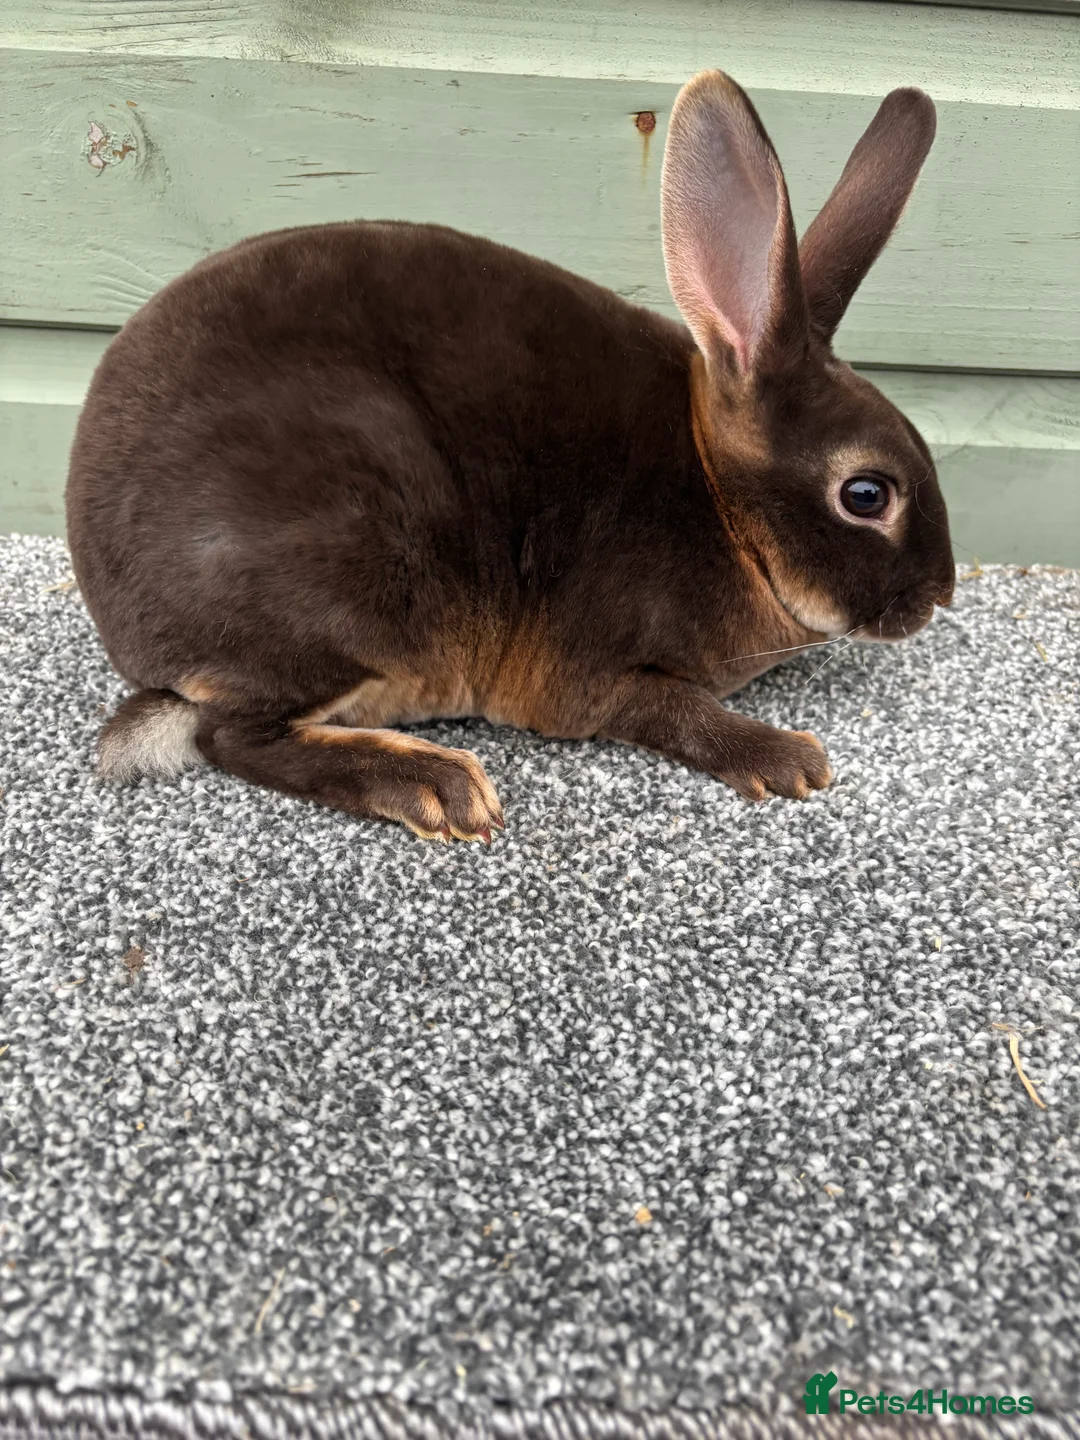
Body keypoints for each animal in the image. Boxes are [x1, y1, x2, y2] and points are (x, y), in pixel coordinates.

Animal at [66, 69, 954, 844]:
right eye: (867, 495)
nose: (938, 596)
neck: (721, 503)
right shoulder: (594, 678)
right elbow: (677, 712)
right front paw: (787, 759)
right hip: (356, 587)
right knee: (233, 737)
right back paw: (437, 785)